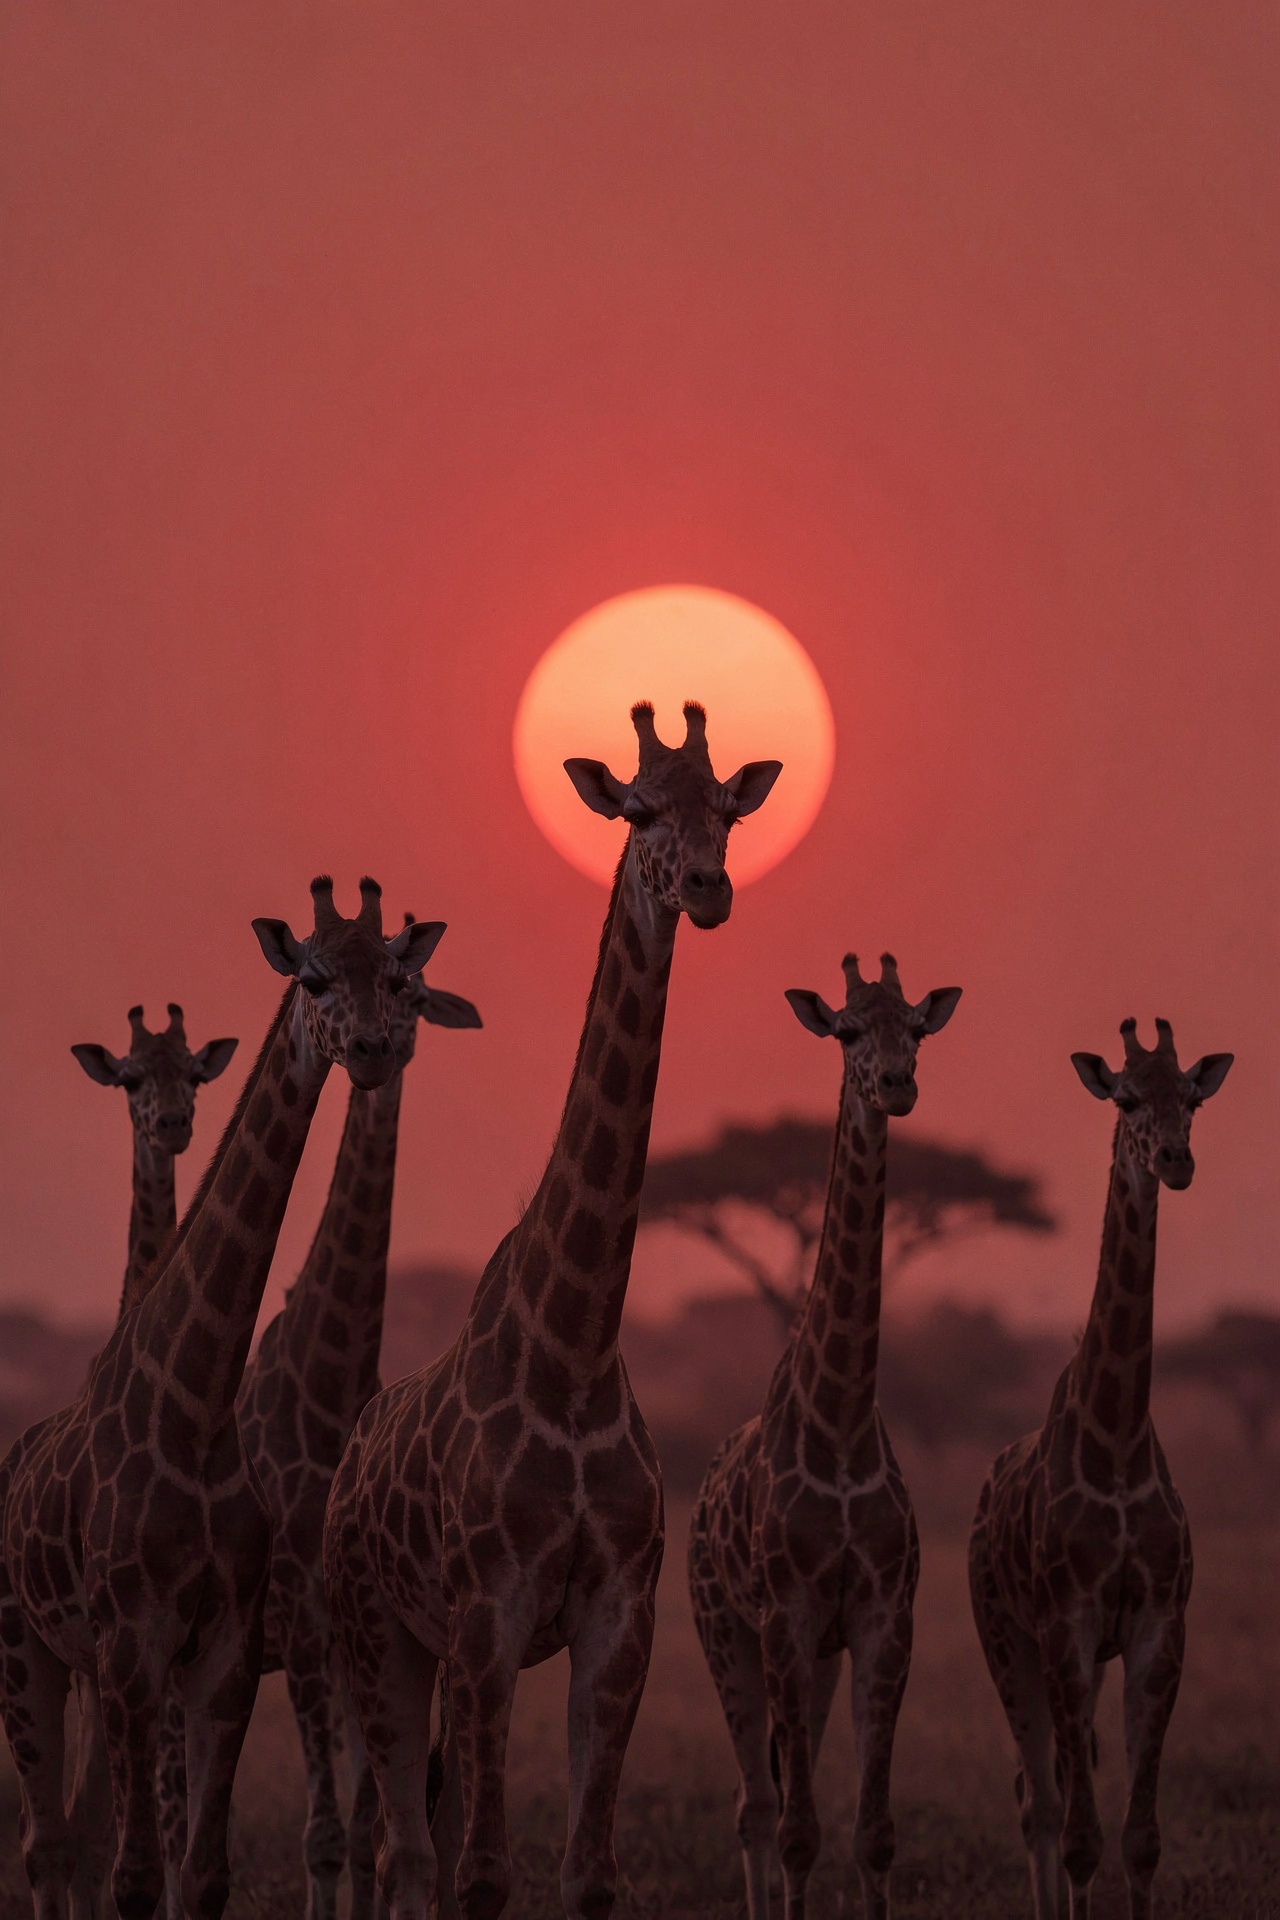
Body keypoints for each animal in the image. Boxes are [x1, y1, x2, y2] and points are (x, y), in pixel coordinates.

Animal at [323, 701, 781, 1920]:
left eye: (726, 810)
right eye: (636, 809)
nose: (708, 888)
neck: (573, 1351)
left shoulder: (618, 1619)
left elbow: (588, 1873)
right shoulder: (488, 1615)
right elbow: (482, 1874)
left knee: (420, 1841)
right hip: (377, 1635)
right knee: (402, 1853)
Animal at [688, 951, 962, 1920]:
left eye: (916, 1027)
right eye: (846, 1031)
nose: (898, 1083)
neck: (840, 1421)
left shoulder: (882, 1616)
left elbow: (873, 1832)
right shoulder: (784, 1616)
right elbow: (798, 1828)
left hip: (814, 1657)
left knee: (773, 1790)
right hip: (724, 1632)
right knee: (755, 1806)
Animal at [968, 1017, 1233, 1920]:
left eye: (1191, 1096)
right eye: (1122, 1097)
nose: (1176, 1161)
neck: (1116, 1445)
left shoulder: (1159, 1628)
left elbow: (1140, 1838)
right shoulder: (1064, 1625)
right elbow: (1082, 1836)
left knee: (1049, 1787)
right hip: (1004, 1636)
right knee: (1036, 1797)